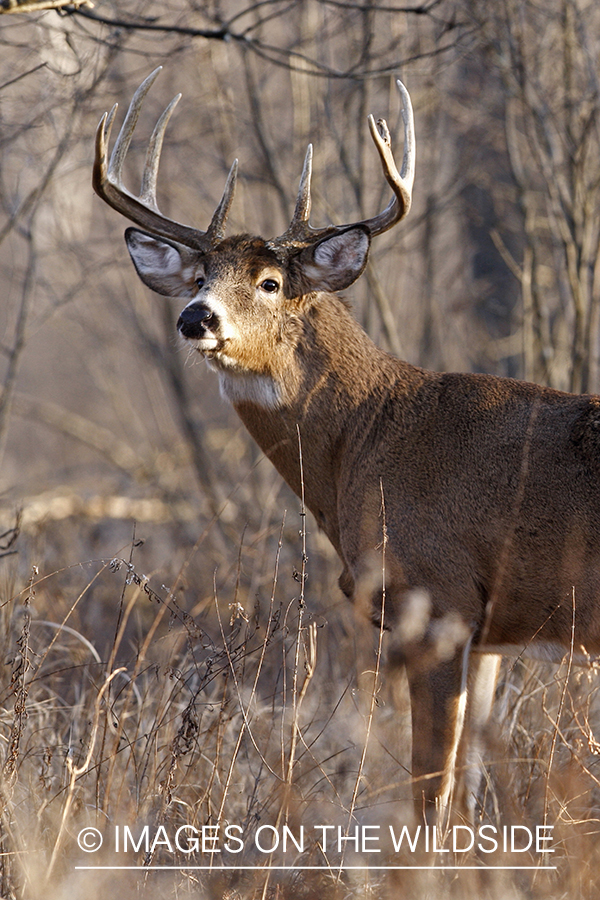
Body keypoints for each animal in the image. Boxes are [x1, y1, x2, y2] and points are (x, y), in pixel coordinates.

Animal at [94, 68, 600, 828]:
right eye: (197, 278)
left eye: (270, 282)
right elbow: (465, 790)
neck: (371, 438)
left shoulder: (437, 596)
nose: (195, 318)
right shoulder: (490, 631)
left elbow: (430, 791)